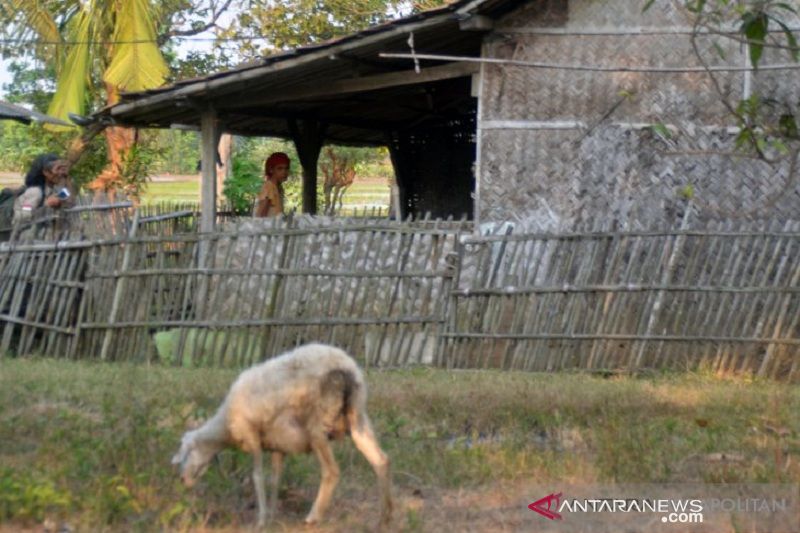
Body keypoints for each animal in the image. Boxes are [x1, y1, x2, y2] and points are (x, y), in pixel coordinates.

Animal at [172, 342, 394, 524]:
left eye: (186, 453)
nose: (182, 481)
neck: (225, 426)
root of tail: (346, 368)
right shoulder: (277, 446)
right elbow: (275, 479)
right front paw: (271, 516)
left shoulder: (252, 436)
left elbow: (258, 476)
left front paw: (261, 520)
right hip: (358, 416)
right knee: (381, 460)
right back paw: (385, 517)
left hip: (317, 425)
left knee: (331, 471)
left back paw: (313, 517)